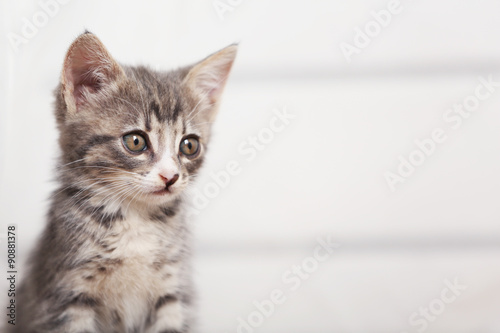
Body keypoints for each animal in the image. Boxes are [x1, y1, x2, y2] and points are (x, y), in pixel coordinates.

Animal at [8, 31, 238, 332]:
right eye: (136, 141)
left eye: (189, 145)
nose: (170, 177)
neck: (135, 218)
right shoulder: (66, 294)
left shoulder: (172, 291)